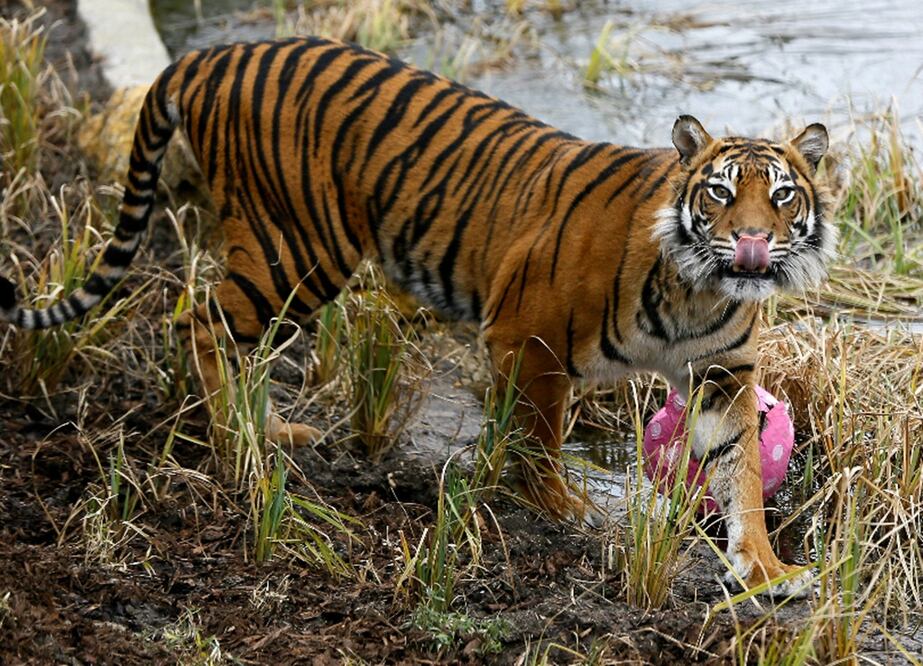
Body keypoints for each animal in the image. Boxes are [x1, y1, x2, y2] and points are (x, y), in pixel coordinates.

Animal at [0, 36, 833, 595]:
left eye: (780, 195)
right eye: (719, 192)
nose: (751, 242)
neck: (699, 289)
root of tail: (216, 52)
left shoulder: (721, 376)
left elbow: (739, 477)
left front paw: (766, 568)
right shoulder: (527, 335)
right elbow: (537, 436)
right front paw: (561, 508)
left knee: (209, 320)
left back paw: (269, 429)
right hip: (296, 249)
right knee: (197, 320)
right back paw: (239, 447)